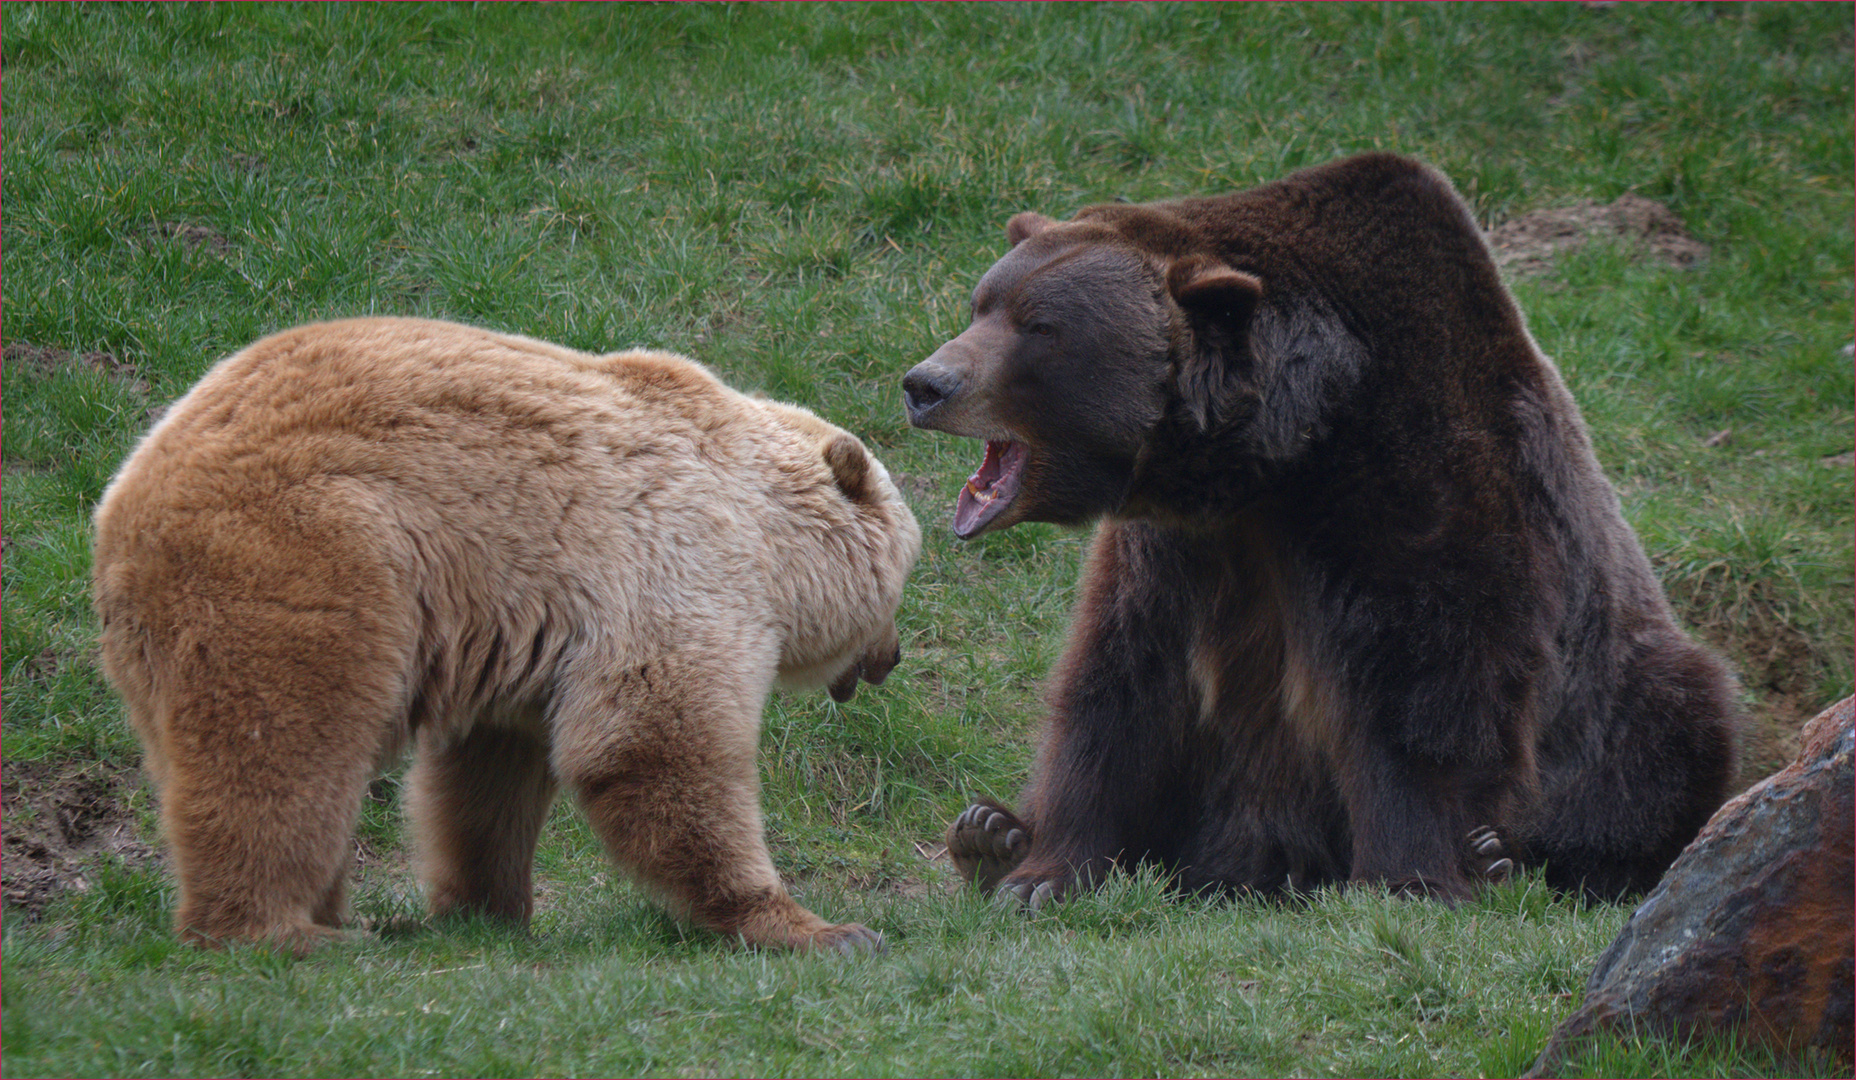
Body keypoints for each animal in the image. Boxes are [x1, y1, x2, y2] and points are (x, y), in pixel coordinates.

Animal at [94, 317, 920, 957]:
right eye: (903, 580)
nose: (890, 658)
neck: (771, 539)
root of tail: (124, 496)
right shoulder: (674, 563)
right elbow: (658, 746)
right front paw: (820, 928)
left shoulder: (519, 631)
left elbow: (487, 780)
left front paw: (487, 911)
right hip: (311, 554)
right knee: (280, 747)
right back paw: (283, 930)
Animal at [905, 156, 1744, 909]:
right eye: (983, 304)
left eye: (1040, 327)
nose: (926, 383)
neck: (1282, 451)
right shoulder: (1178, 547)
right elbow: (1121, 682)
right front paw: (1040, 870)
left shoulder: (1414, 480)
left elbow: (1424, 685)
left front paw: (1410, 879)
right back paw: (988, 832)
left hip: (1628, 694)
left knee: (1666, 734)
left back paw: (1510, 858)